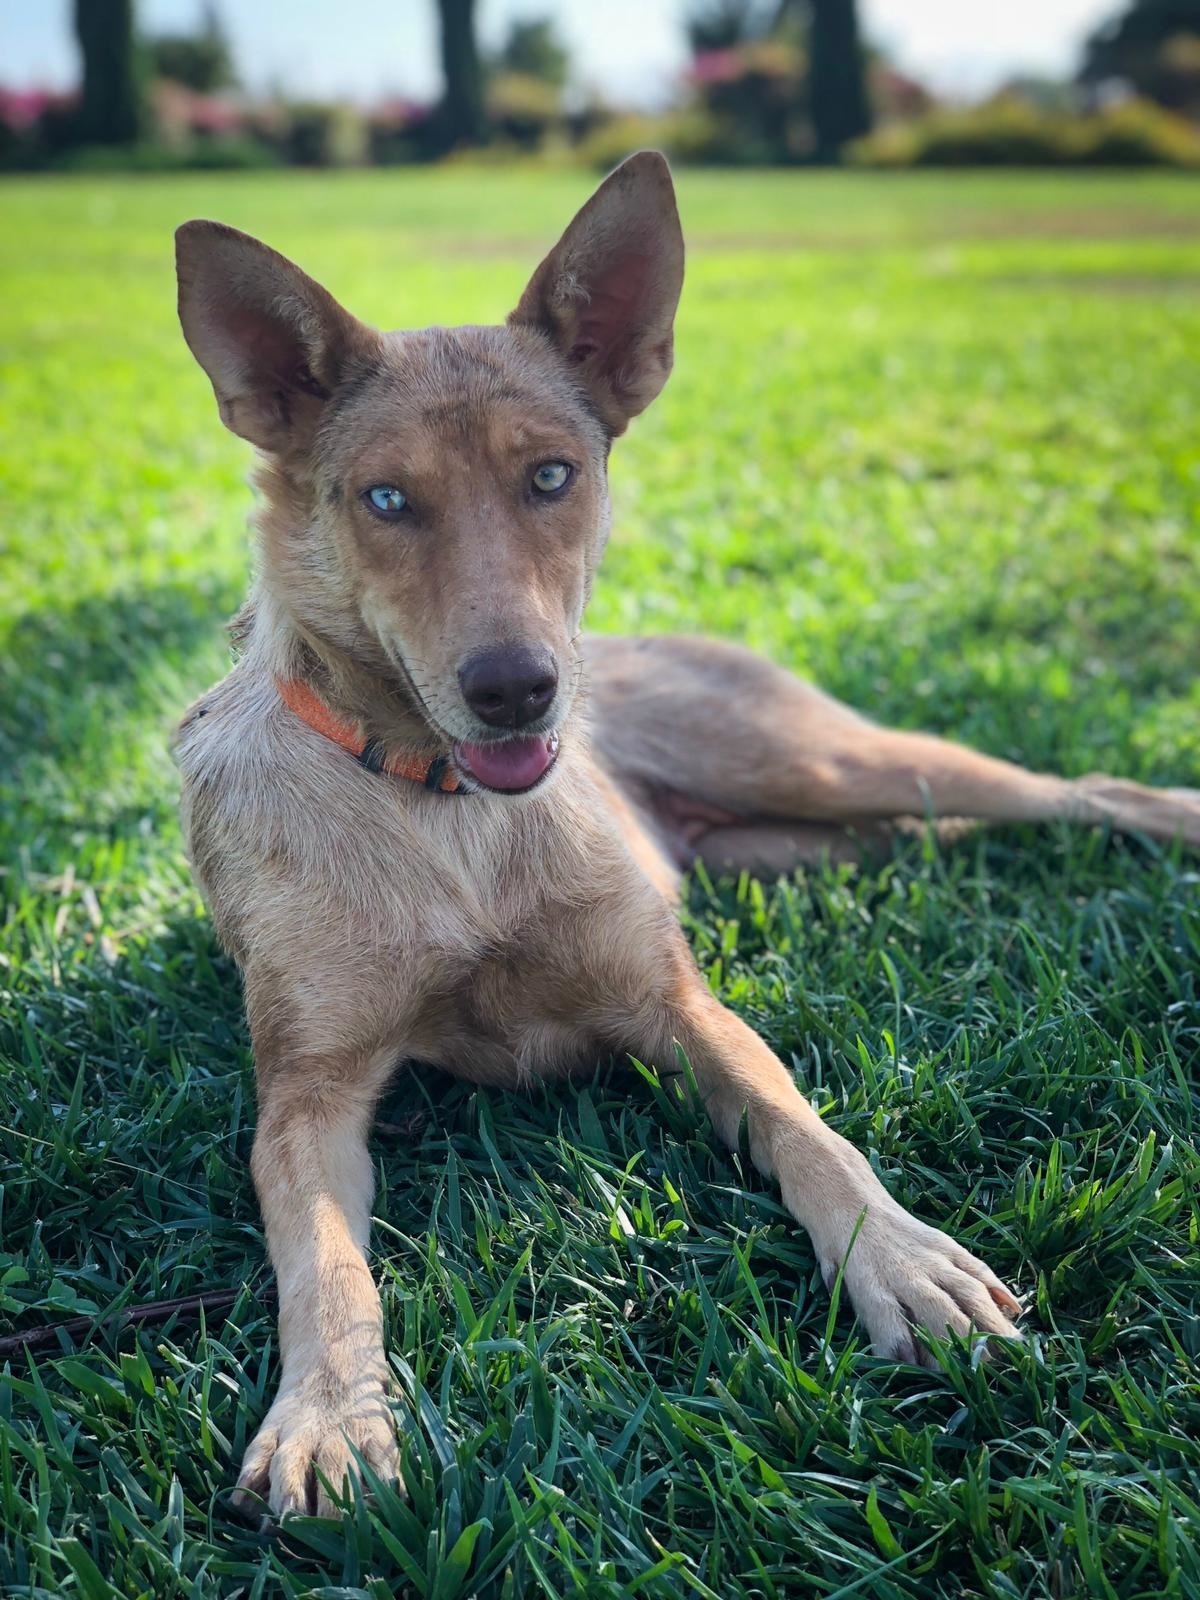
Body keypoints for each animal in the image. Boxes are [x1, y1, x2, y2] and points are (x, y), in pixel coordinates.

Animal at [172, 152, 1200, 1520]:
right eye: (385, 499)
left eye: (552, 475)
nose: (518, 691)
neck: (446, 811)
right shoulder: (307, 1095)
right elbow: (326, 1266)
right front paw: (332, 1415)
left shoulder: (678, 1007)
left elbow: (808, 1129)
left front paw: (902, 1262)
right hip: (800, 840)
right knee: (928, 838)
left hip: (826, 763)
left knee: (1070, 787)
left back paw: (1170, 812)